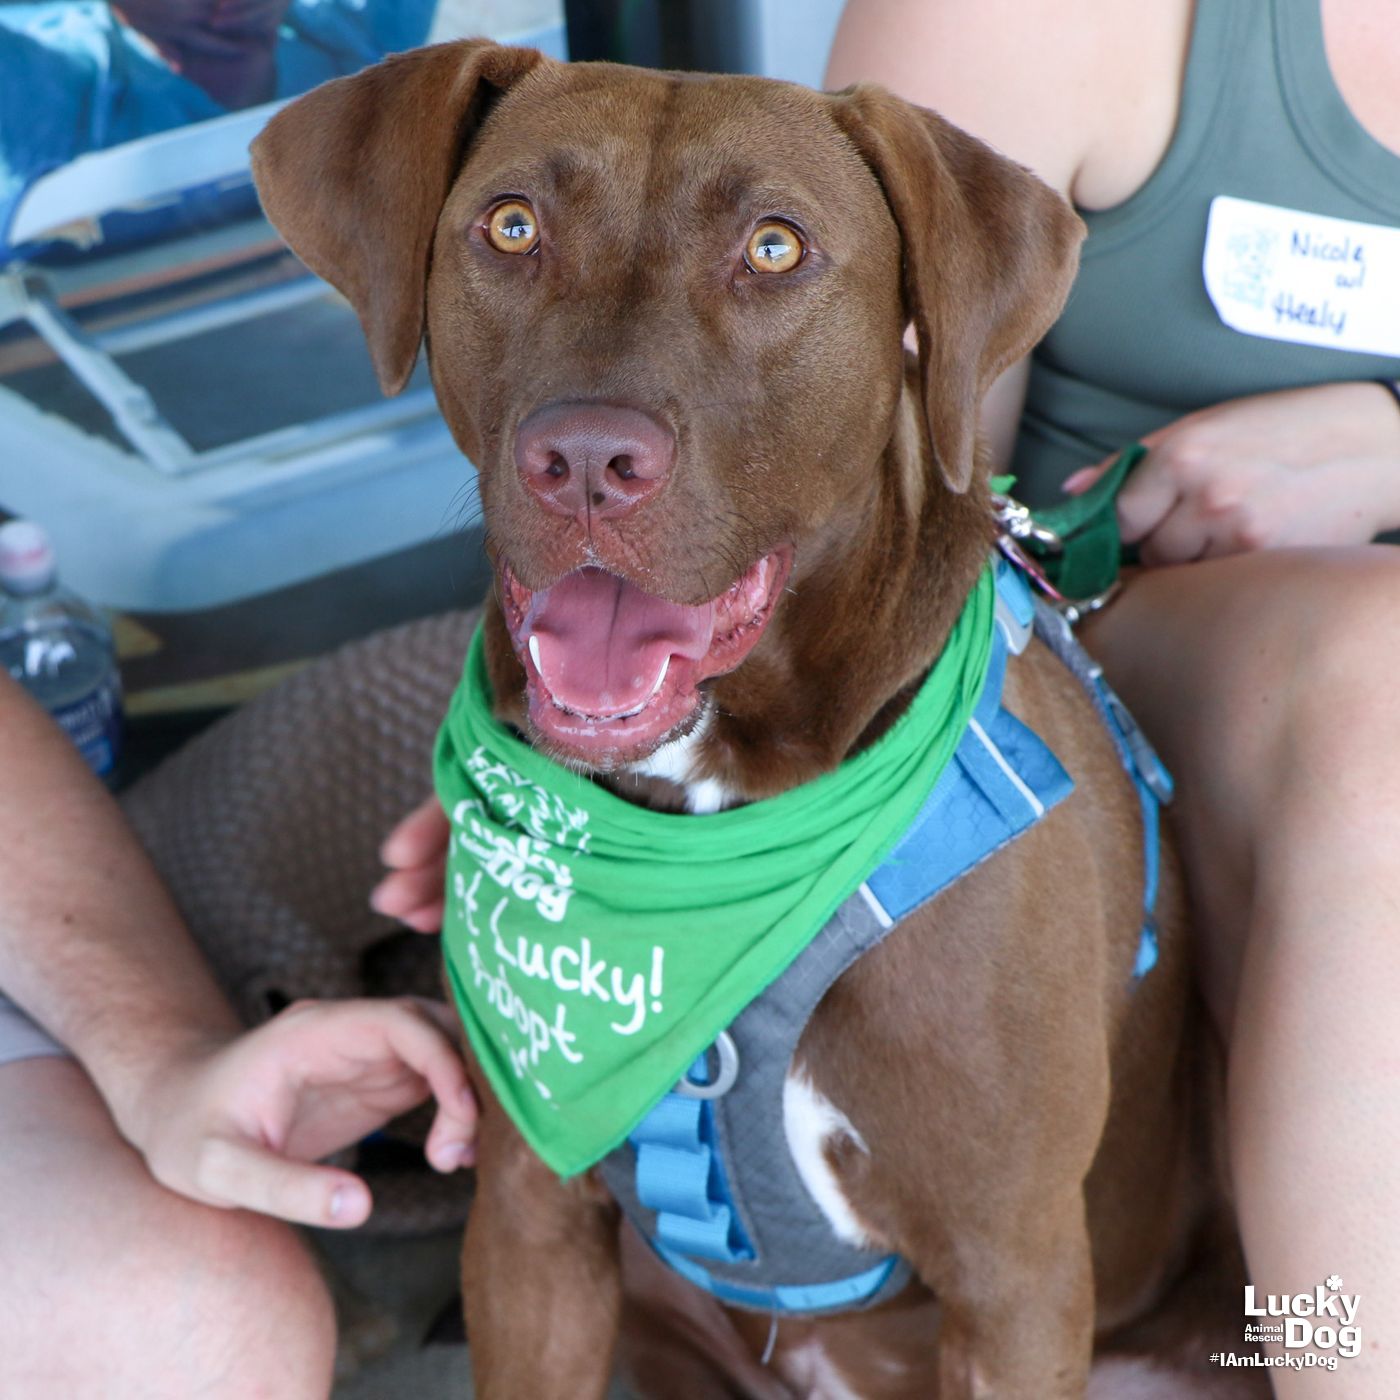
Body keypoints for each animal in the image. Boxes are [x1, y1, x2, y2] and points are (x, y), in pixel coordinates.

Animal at [254, 38, 1271, 1394]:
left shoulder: (1012, 1277)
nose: (585, 461)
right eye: (511, 226)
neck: (706, 828)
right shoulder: (528, 1219)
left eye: (775, 248)